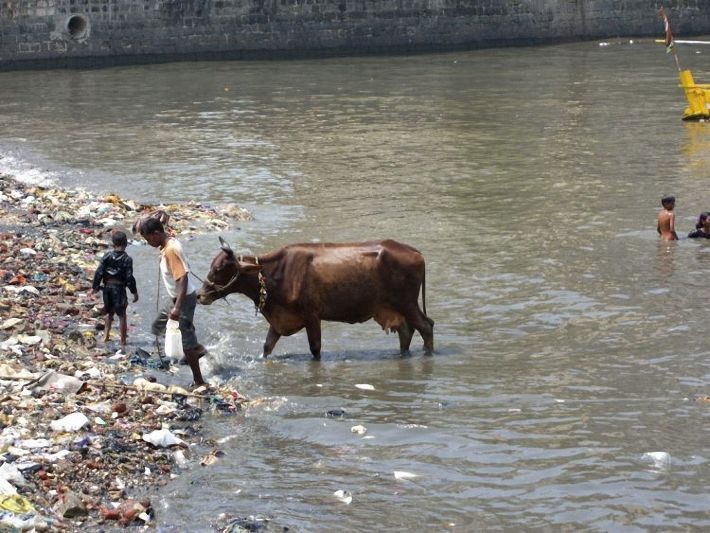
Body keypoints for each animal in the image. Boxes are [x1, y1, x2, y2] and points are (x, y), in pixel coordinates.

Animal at [197, 239, 436, 360]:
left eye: (219, 268)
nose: (200, 295)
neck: (275, 273)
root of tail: (415, 252)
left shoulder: (312, 316)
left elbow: (315, 348)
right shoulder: (280, 320)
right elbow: (267, 347)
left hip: (408, 303)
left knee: (426, 326)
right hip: (395, 307)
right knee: (406, 331)